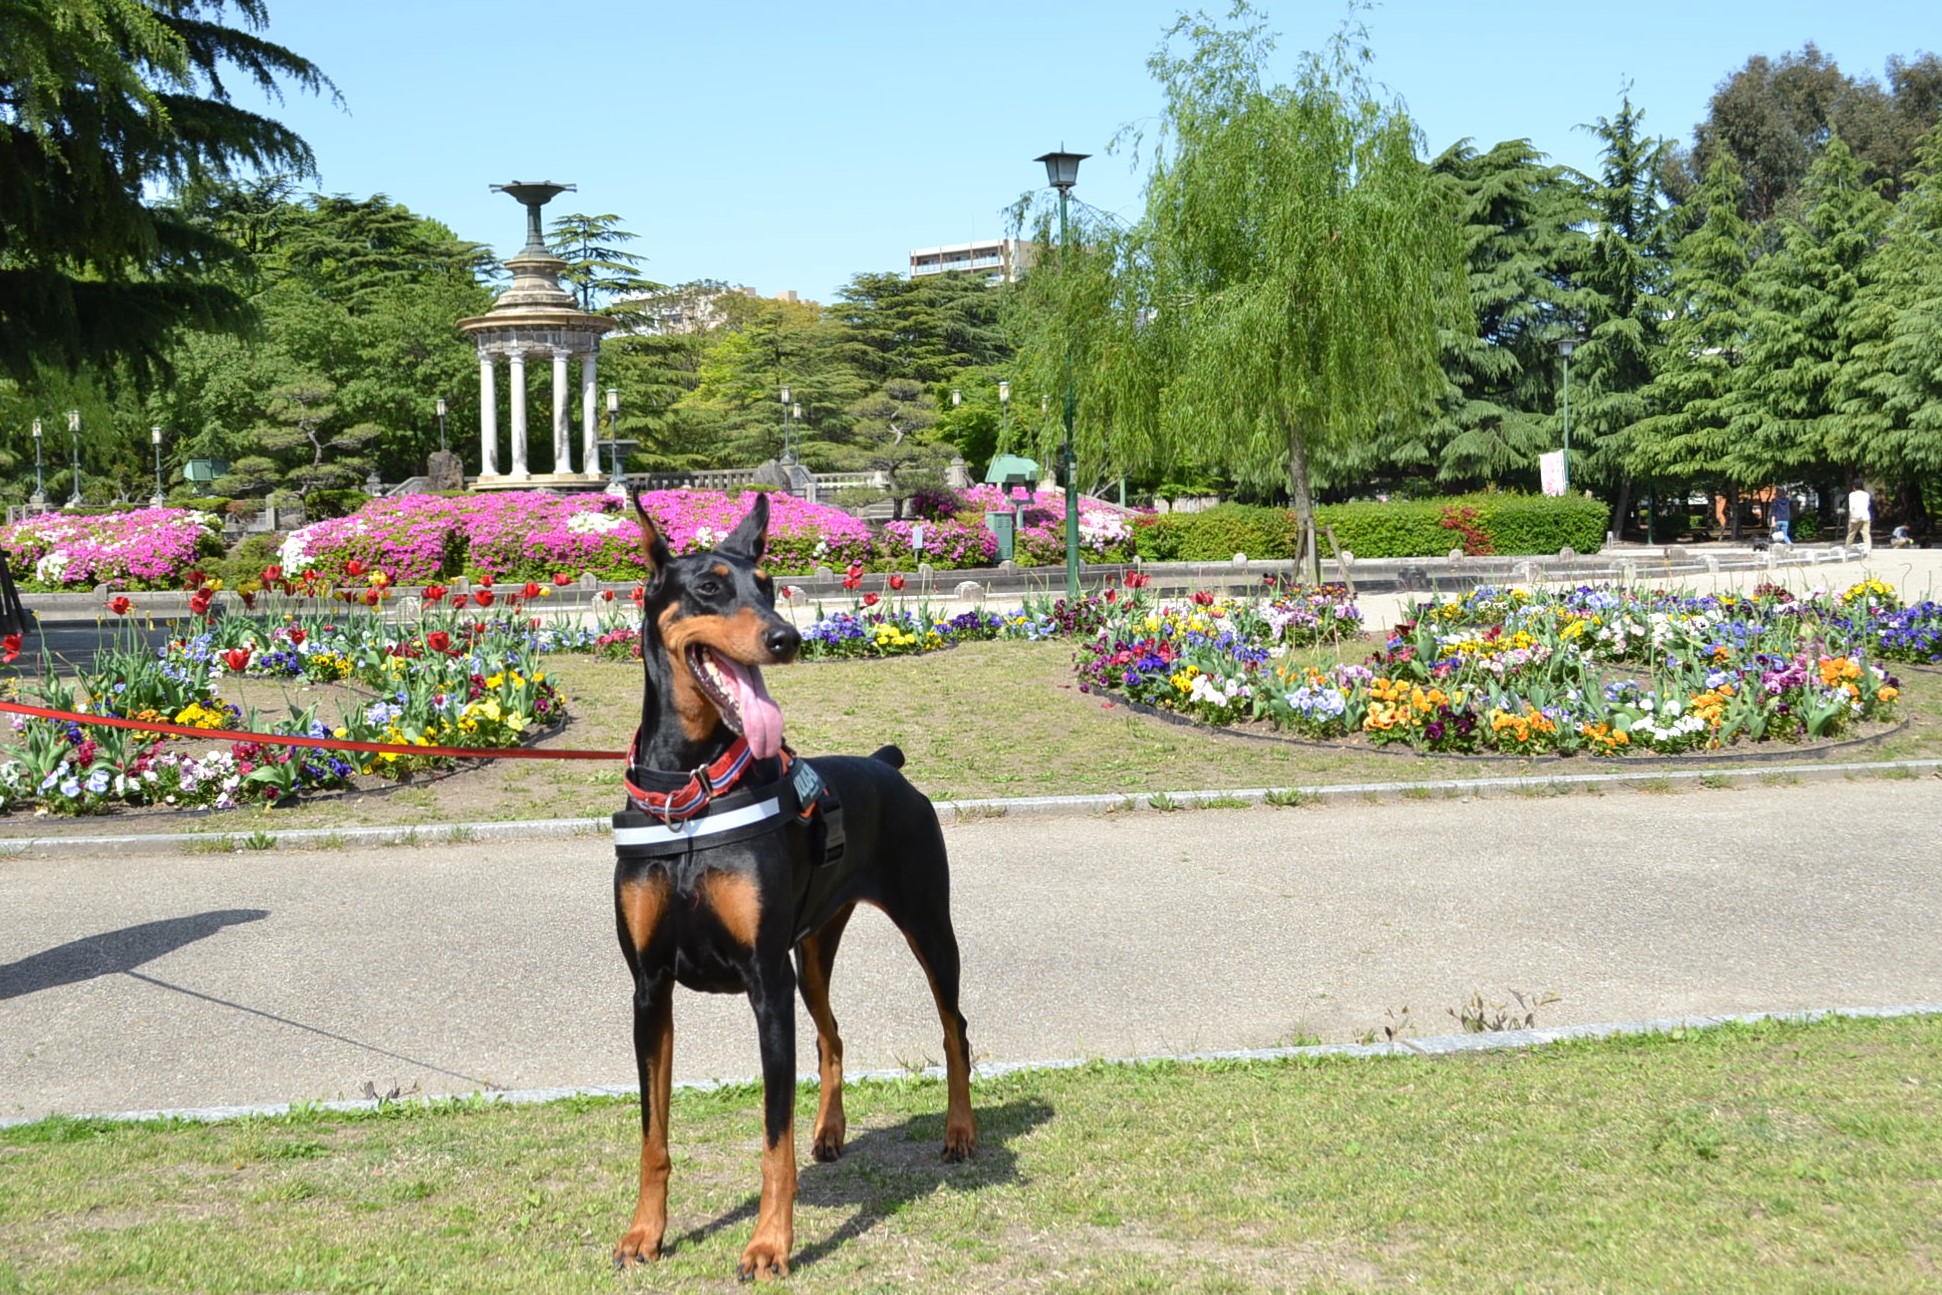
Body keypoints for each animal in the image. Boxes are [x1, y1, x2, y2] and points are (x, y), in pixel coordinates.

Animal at [605, 491, 971, 1281]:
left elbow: (774, 1138)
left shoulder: (764, 983)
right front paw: (645, 1232)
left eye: (770, 587)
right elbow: (654, 1134)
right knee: (833, 1033)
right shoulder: (650, 986)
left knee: (954, 1027)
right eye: (710, 587)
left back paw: (960, 1131)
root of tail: (885, 763)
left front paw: (770, 1244)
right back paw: (831, 1131)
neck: (690, 791)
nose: (787, 638)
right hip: (813, 950)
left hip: (927, 926)